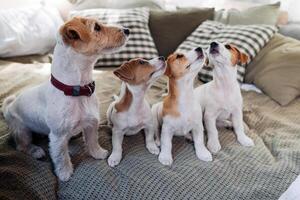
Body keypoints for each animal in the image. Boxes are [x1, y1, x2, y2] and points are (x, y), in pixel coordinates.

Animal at [1, 16, 130, 180]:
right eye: (97, 27)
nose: (127, 30)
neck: (78, 89)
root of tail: (8, 107)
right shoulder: (58, 137)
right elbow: (61, 157)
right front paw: (65, 174)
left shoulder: (91, 124)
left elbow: (92, 142)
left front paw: (98, 153)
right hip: (22, 130)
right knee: (21, 146)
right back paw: (36, 151)